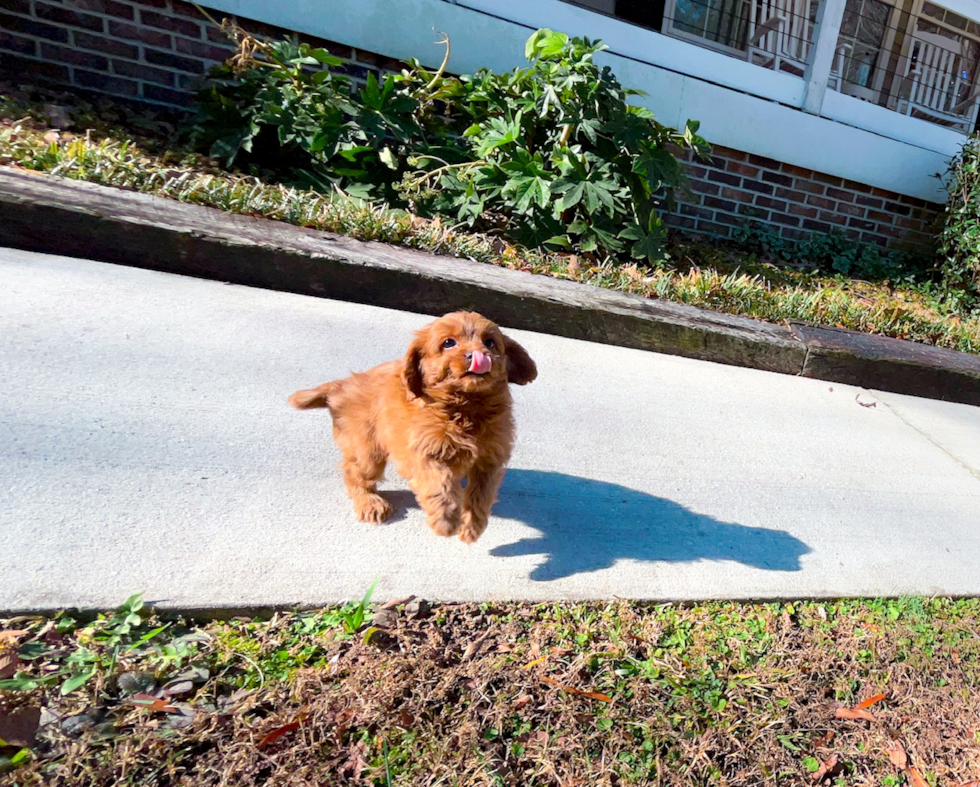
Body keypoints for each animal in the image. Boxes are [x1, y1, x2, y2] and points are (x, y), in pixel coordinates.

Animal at [290, 310, 536, 544]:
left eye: (490, 342)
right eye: (449, 343)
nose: (478, 356)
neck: (466, 408)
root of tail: (342, 385)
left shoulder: (489, 459)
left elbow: (480, 495)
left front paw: (471, 527)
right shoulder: (422, 453)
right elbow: (438, 485)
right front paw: (445, 520)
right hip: (368, 451)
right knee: (354, 473)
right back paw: (370, 503)